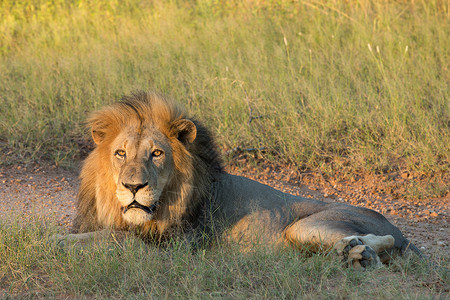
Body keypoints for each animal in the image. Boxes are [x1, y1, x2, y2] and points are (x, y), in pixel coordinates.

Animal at [60, 91, 422, 268]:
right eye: (121, 153)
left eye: (157, 154)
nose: (133, 187)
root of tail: (401, 231)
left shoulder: (174, 247)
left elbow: (113, 238)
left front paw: (58, 242)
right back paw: (348, 255)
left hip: (306, 225)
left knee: (380, 242)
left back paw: (355, 252)